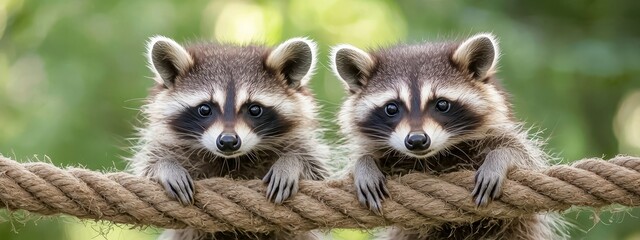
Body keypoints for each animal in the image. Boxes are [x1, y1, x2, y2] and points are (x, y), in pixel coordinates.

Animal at [130, 36, 330, 240]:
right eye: (205, 109)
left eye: (254, 109)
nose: (227, 141)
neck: (231, 160)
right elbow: (149, 164)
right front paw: (165, 166)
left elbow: (317, 170)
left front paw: (291, 163)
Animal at [330, 32, 564, 239]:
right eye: (391, 108)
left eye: (442, 104)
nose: (416, 141)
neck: (433, 157)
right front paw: (364, 164)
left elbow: (524, 155)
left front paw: (501, 158)